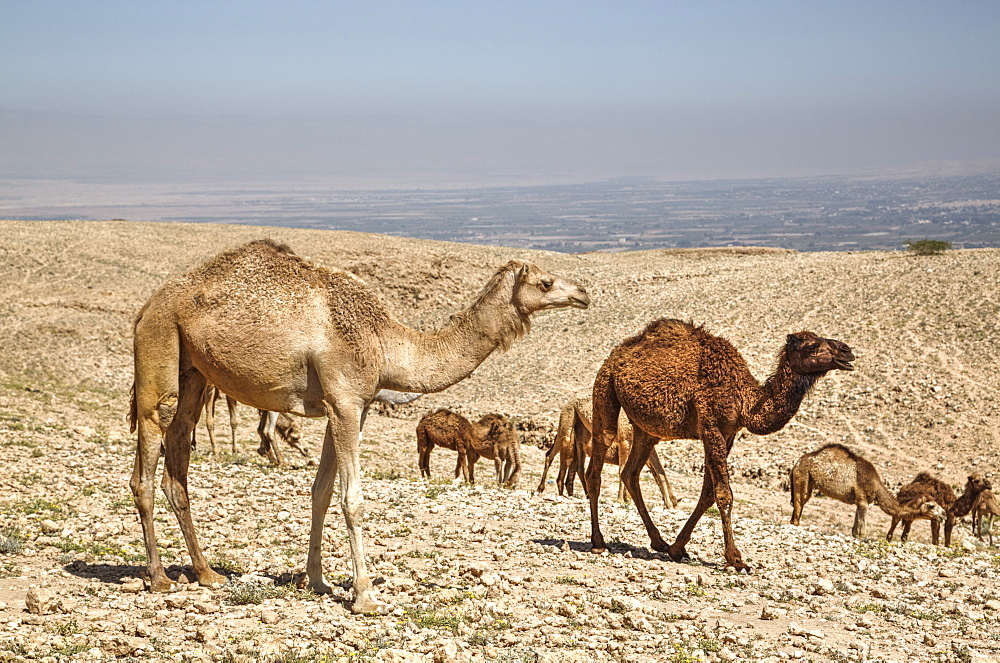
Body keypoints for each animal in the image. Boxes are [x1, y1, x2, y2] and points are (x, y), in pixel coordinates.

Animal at [129, 237, 588, 612]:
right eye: (546, 282)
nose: (583, 293)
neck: (386, 342)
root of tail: (147, 305)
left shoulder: (352, 405)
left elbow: (321, 491)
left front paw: (318, 581)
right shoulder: (346, 401)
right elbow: (352, 499)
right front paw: (365, 595)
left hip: (194, 369)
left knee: (178, 456)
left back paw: (207, 573)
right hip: (159, 343)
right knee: (148, 454)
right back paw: (159, 578)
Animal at [532, 392, 680, 510]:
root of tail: (570, 400)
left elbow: (660, 472)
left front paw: (670, 504)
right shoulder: (624, 440)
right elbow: (622, 470)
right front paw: (621, 500)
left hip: (582, 432)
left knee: (578, 465)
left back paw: (585, 494)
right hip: (568, 423)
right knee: (552, 453)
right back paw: (541, 489)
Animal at [588, 320, 856, 572]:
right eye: (812, 346)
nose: (847, 351)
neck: (745, 400)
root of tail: (616, 355)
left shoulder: (727, 434)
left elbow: (708, 492)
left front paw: (677, 548)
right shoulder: (712, 426)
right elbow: (723, 493)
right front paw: (735, 558)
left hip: (647, 430)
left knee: (630, 473)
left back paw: (659, 542)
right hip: (604, 389)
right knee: (597, 465)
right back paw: (598, 542)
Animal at [788, 440, 944, 540]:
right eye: (932, 506)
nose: (943, 515)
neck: (877, 488)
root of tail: (796, 464)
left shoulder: (860, 501)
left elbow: (855, 531)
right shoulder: (863, 500)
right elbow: (862, 532)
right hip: (803, 477)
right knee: (798, 505)